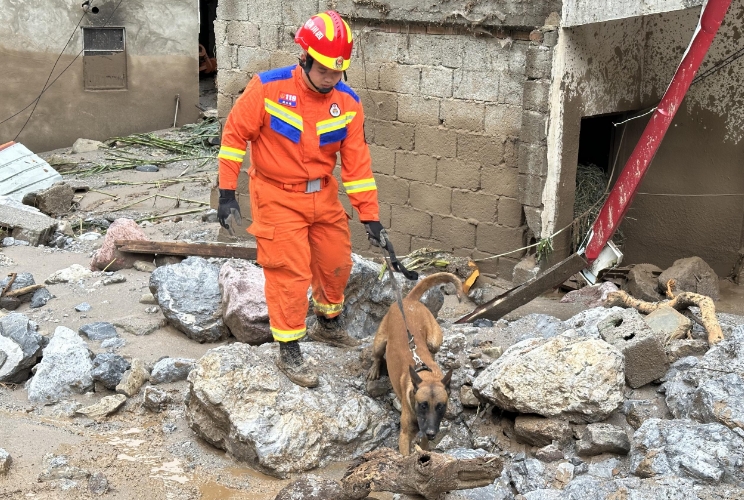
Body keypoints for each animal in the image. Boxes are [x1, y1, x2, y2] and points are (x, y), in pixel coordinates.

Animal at [368, 272, 462, 456]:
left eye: (441, 406)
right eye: (423, 405)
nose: (432, 433)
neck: (425, 373)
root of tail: (408, 301)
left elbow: (424, 448)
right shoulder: (405, 436)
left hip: (434, 340)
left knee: (432, 348)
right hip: (380, 341)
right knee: (377, 355)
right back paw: (374, 369)